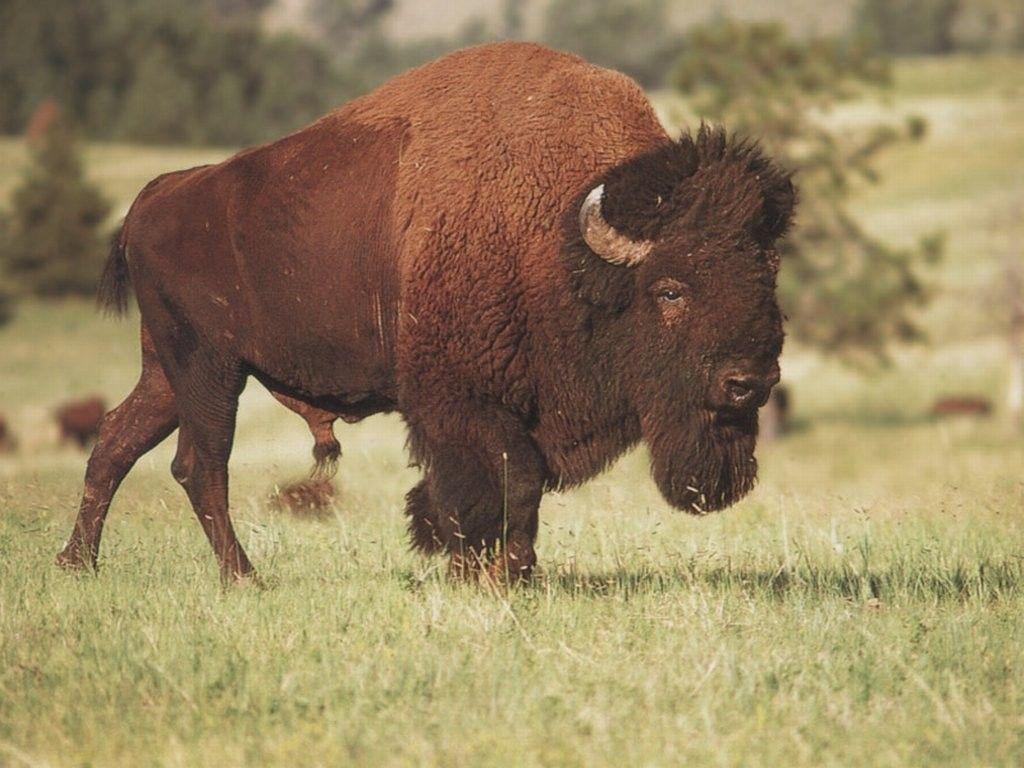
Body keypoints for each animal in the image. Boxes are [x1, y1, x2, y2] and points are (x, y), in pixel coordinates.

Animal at [57, 42, 795, 582]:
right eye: (671, 290)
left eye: (766, 276)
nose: (747, 383)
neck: (559, 238)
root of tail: (155, 197)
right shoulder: (461, 402)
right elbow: (507, 483)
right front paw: (490, 574)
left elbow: (504, 489)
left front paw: (504, 571)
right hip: (209, 367)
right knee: (200, 464)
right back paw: (243, 577)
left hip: (167, 370)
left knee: (117, 442)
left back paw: (78, 564)